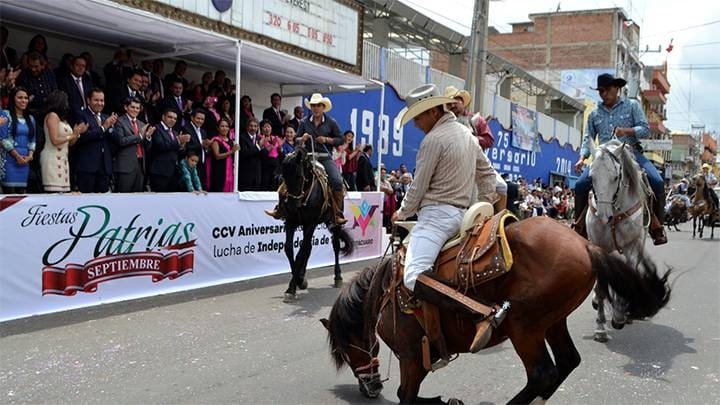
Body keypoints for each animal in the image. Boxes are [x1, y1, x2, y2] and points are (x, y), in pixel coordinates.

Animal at [279, 146, 354, 302]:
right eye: (283, 177)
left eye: (299, 176)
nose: (292, 206)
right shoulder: (291, 222)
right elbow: (289, 249)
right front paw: (298, 281)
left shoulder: (311, 223)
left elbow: (300, 253)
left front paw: (292, 287)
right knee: (308, 248)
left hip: (334, 222)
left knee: (335, 246)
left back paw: (338, 277)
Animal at [321, 216, 670, 404]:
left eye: (345, 350)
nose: (371, 386)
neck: (385, 290)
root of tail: (586, 245)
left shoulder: (411, 358)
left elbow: (404, 396)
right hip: (552, 322)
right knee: (567, 362)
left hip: (523, 327)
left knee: (543, 373)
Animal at [586, 140, 653, 341]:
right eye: (591, 177)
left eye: (616, 177)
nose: (603, 218)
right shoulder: (598, 246)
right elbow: (601, 287)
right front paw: (600, 328)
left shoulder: (632, 247)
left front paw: (619, 316)